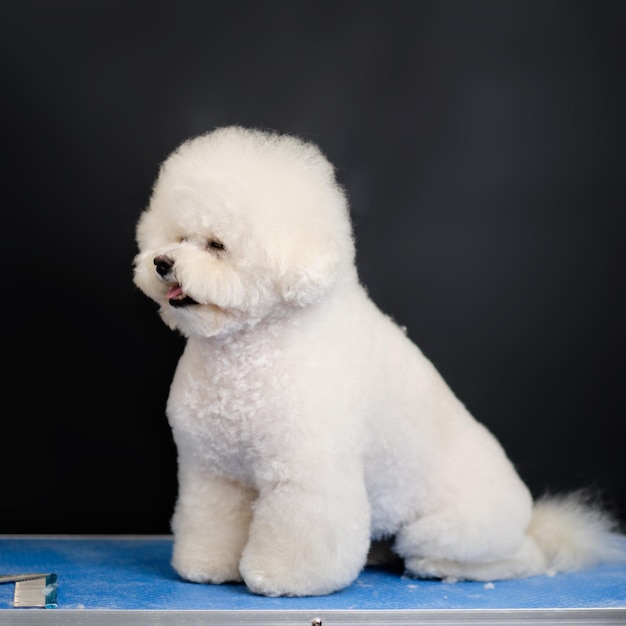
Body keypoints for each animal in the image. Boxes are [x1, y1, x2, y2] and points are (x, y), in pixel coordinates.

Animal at [130, 125, 620, 596]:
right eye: (177, 237)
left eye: (216, 245)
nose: (162, 262)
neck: (249, 349)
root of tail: (527, 518)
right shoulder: (212, 470)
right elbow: (211, 519)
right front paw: (207, 566)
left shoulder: (308, 469)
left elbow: (303, 532)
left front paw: (282, 578)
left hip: (446, 530)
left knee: (522, 558)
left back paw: (439, 567)